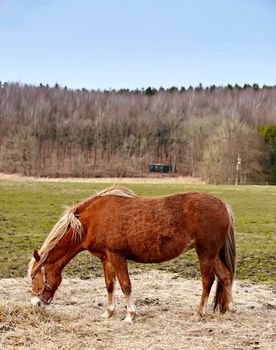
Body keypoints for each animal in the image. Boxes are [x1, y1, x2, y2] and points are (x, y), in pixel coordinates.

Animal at [27, 189, 235, 322]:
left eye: (35, 276)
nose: (36, 303)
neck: (93, 220)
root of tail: (224, 206)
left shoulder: (117, 256)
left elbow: (125, 284)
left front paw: (130, 315)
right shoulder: (105, 258)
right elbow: (110, 285)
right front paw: (109, 312)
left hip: (205, 252)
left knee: (207, 281)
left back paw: (199, 313)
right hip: (213, 254)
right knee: (225, 276)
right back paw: (231, 309)